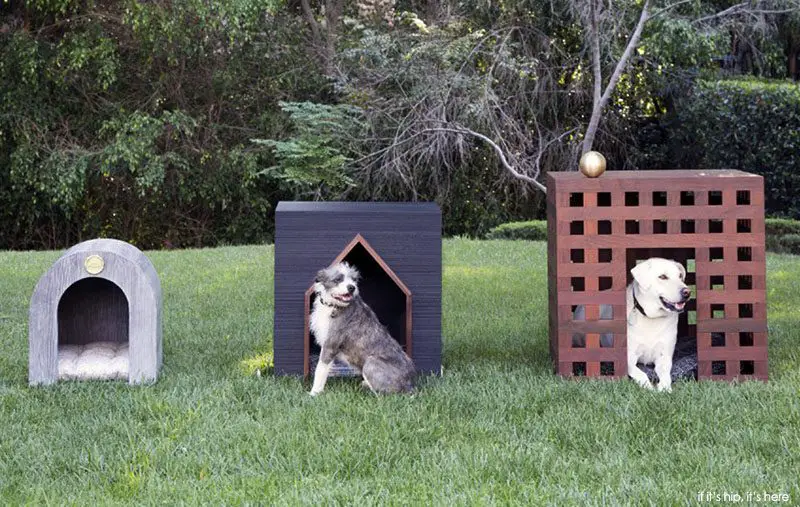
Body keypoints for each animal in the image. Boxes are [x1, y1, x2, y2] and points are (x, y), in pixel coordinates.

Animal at [310, 262, 416, 396]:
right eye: (338, 279)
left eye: (354, 280)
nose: (352, 287)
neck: (333, 306)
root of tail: (409, 385)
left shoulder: (330, 345)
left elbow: (320, 370)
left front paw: (314, 393)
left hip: (370, 363)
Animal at [628, 258, 692, 392]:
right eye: (662, 277)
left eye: (680, 276)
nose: (687, 292)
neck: (652, 318)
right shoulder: (629, 358)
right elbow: (641, 373)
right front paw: (649, 387)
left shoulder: (664, 357)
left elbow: (666, 375)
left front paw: (664, 389)